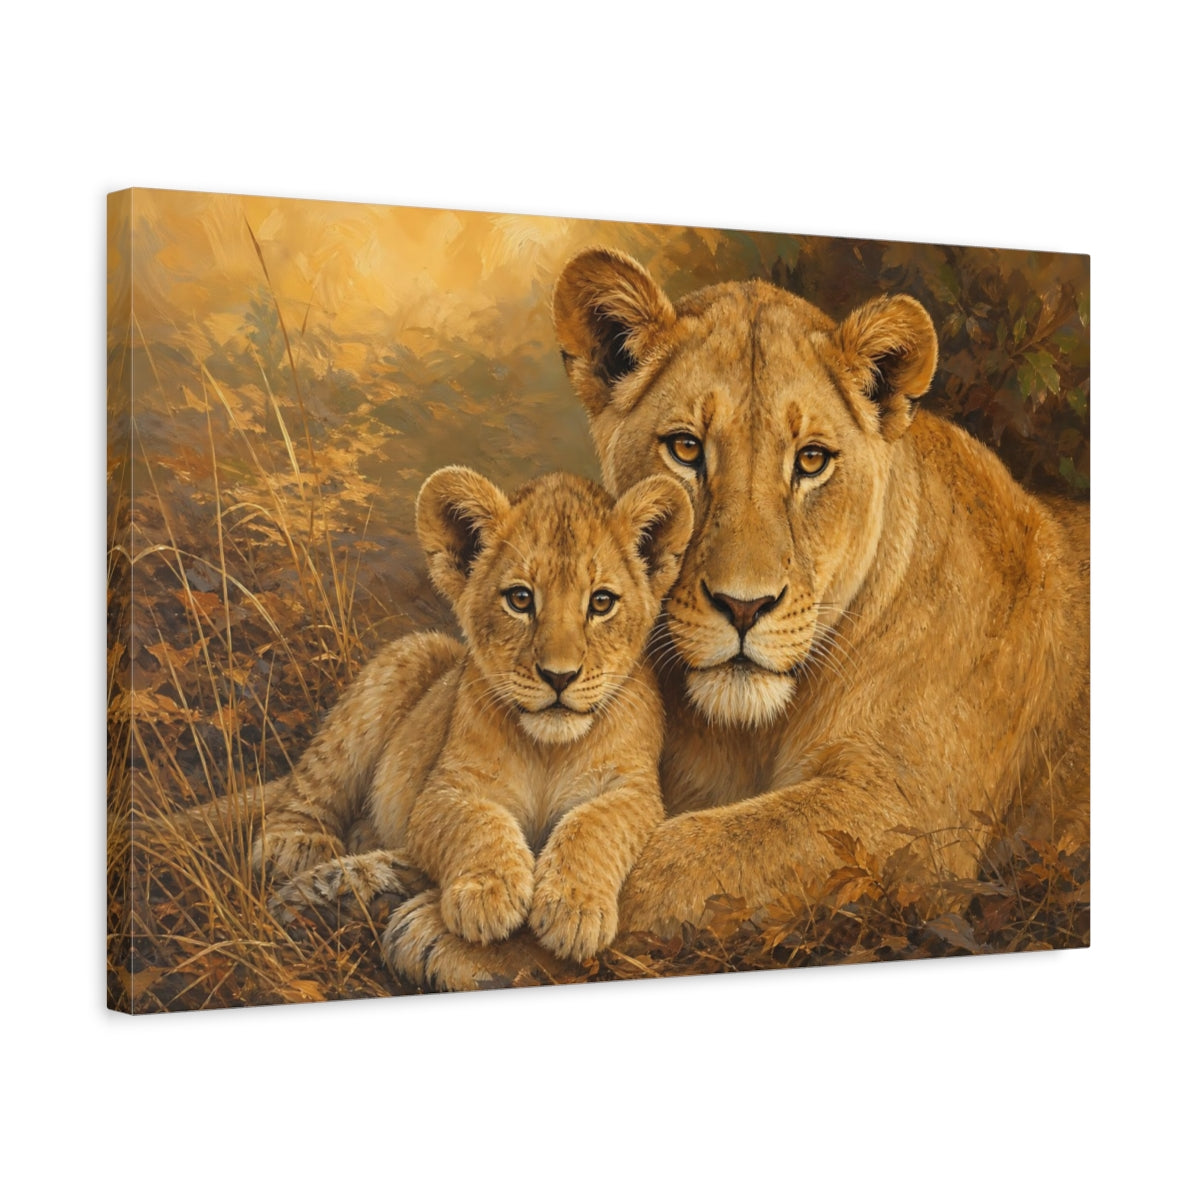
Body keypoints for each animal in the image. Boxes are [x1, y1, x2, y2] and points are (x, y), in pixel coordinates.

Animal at [257, 465, 693, 988]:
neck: (548, 750)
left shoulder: (635, 790)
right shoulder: (444, 789)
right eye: (520, 599)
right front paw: (489, 896)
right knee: (319, 774)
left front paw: (574, 909)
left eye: (602, 602)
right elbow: (479, 820)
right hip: (410, 656)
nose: (559, 676)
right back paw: (296, 846)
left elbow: (593, 823)